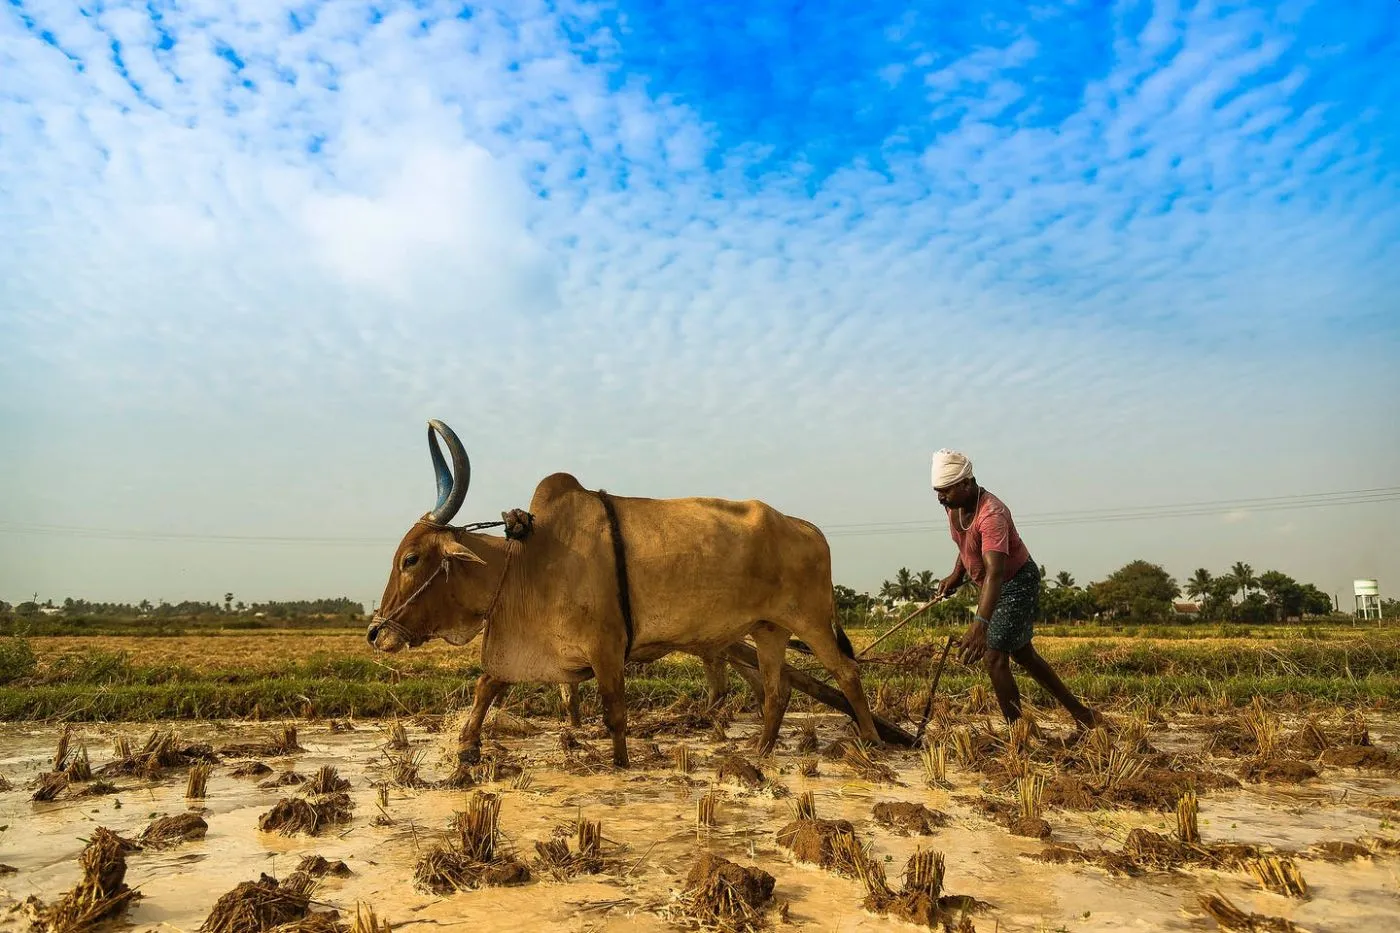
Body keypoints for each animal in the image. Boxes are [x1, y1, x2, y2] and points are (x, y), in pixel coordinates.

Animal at [366, 420, 879, 762]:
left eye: (410, 559)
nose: (376, 633)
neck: (523, 562)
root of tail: (806, 527)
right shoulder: (524, 648)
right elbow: (486, 688)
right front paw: (466, 749)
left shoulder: (607, 648)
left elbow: (614, 712)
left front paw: (620, 764)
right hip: (768, 629)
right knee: (777, 689)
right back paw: (760, 748)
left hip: (812, 620)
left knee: (847, 673)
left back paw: (872, 743)